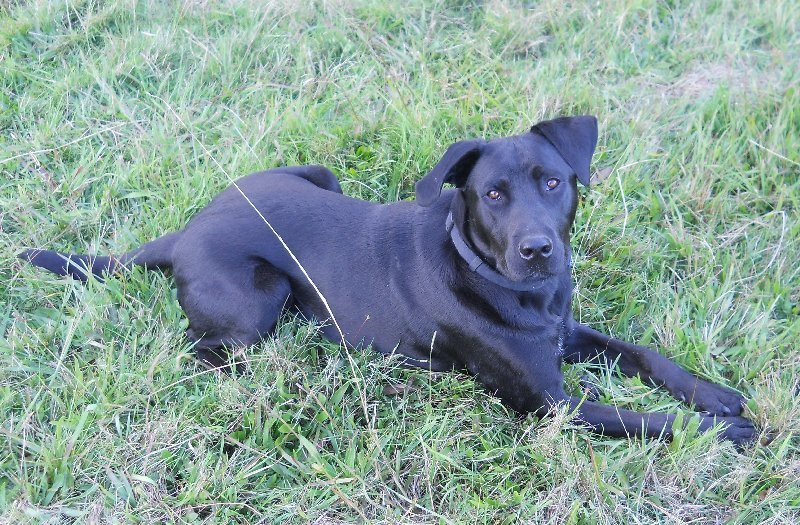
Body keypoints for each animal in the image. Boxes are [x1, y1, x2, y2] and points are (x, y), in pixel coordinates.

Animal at [19, 115, 755, 445]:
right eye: (492, 194)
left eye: (553, 182)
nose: (539, 249)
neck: (499, 279)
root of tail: (186, 230)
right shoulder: (549, 404)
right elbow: (644, 419)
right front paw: (719, 430)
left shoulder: (568, 332)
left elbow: (646, 355)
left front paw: (714, 395)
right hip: (260, 302)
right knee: (202, 348)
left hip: (316, 174)